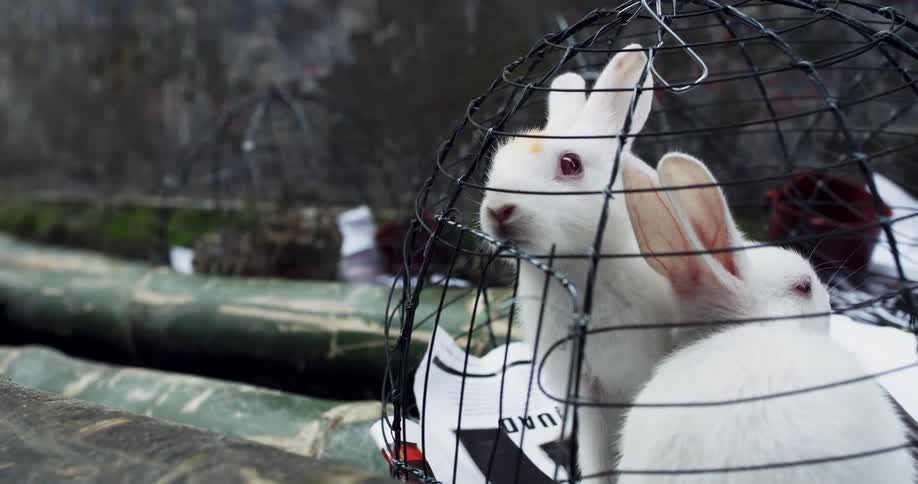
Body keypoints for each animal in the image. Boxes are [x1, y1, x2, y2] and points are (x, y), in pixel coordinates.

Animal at [479, 44, 677, 482]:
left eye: (570, 164)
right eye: (497, 163)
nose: (499, 210)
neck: (577, 268)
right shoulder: (589, 391)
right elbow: (597, 457)